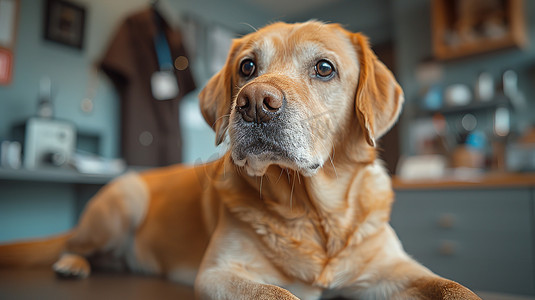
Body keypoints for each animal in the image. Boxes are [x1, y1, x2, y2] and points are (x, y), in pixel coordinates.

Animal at [0, 21, 482, 300]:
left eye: (325, 68)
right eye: (247, 67)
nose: (253, 103)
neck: (314, 214)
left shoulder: (394, 269)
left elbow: (456, 287)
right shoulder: (219, 273)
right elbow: (278, 294)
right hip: (122, 203)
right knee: (73, 246)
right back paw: (72, 263)